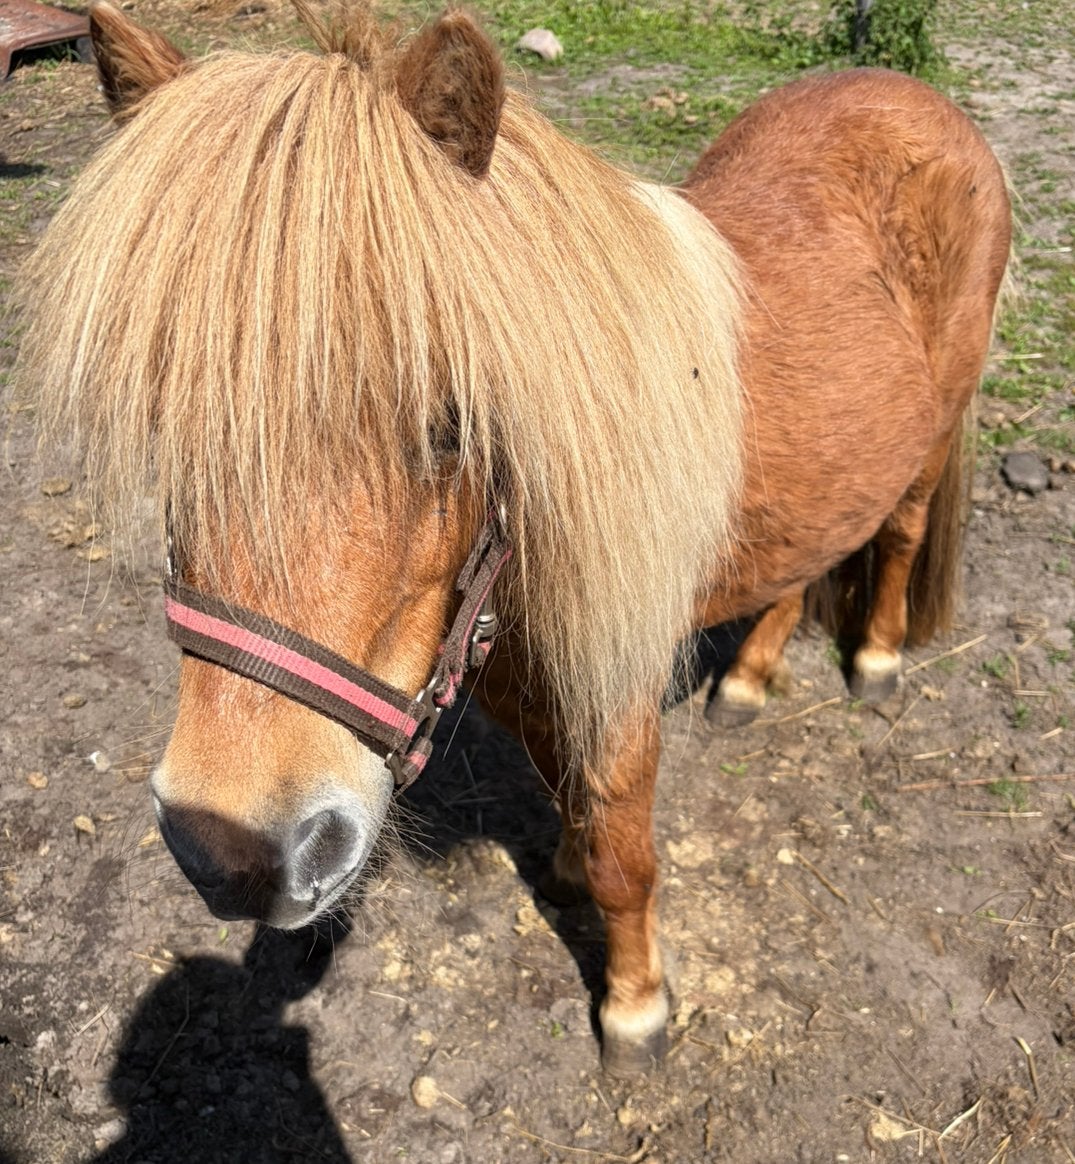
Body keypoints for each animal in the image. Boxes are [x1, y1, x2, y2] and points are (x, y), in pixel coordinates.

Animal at [17, 2, 1010, 1076]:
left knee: (898, 536)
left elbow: (626, 857)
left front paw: (635, 1005)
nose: (227, 852)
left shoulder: (617, 686)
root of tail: (913, 99)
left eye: (449, 423)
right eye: (162, 414)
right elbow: (566, 795)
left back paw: (873, 665)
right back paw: (747, 682)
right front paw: (568, 862)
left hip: (931, 441)